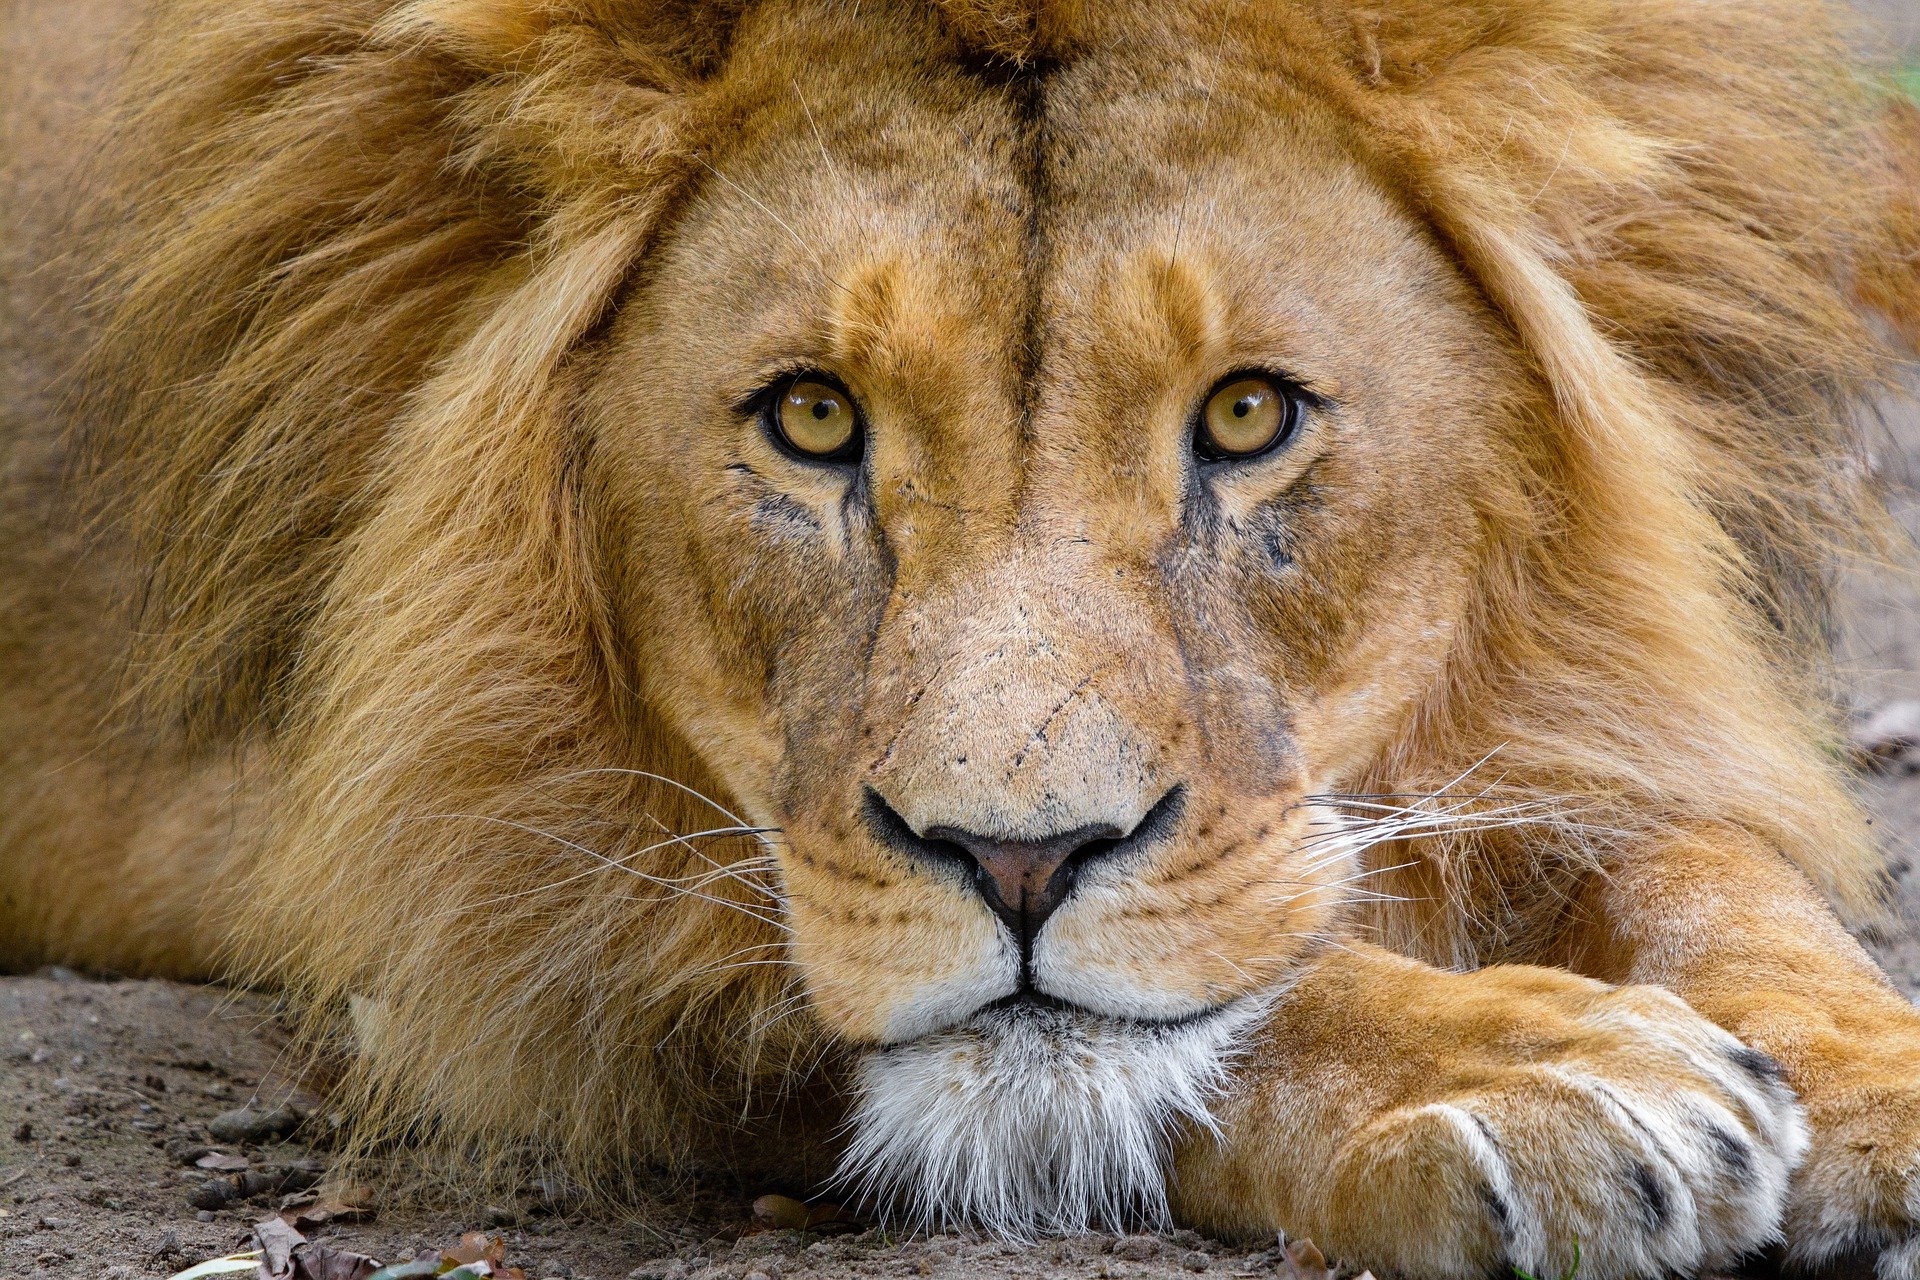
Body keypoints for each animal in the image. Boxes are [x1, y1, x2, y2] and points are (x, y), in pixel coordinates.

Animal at [3, 0, 1920, 1274]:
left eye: (1244, 416)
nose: (1019, 862)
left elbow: (1705, 865)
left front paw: (1870, 1080)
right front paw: (1539, 1074)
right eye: (812, 421)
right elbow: (1216, 1013)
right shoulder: (480, 909)